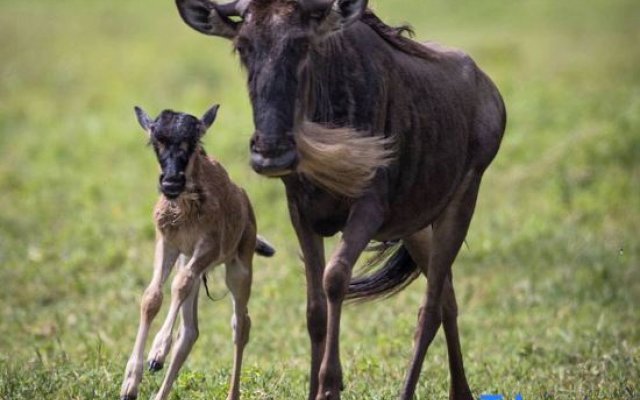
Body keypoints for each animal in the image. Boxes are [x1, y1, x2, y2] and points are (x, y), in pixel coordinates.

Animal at [119, 104, 274, 400]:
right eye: (156, 141)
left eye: (192, 143)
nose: (170, 183)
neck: (185, 210)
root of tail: (246, 204)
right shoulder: (168, 244)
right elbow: (151, 297)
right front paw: (131, 382)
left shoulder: (208, 247)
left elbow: (177, 286)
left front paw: (157, 351)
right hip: (188, 261)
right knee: (190, 331)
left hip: (237, 269)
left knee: (241, 324)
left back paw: (231, 393)